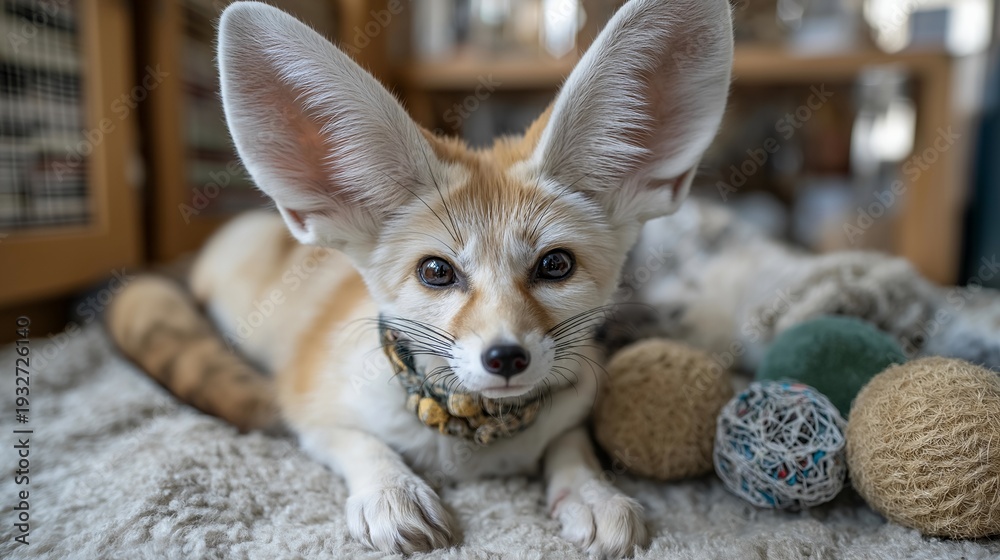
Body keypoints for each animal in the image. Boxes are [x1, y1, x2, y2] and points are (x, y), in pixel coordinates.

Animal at [106, 0, 734, 556]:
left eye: (555, 265)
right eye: (437, 271)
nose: (505, 357)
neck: (473, 441)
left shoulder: (575, 399)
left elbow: (572, 444)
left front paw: (591, 493)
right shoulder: (304, 403)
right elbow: (360, 444)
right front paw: (393, 491)